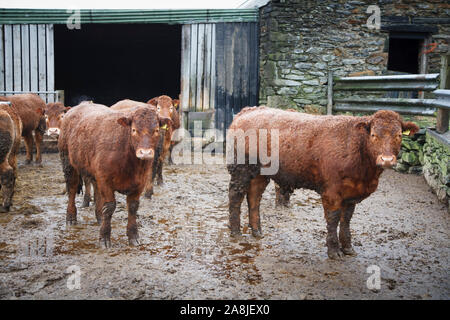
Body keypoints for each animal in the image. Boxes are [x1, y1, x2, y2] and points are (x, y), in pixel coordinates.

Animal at [58, 102, 163, 248]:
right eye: (134, 130)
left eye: (157, 130)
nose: (145, 153)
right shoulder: (105, 180)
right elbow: (109, 207)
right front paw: (104, 237)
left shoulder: (140, 182)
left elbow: (133, 207)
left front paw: (133, 236)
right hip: (68, 163)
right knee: (72, 189)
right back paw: (71, 217)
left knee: (96, 191)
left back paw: (99, 217)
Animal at [227, 107, 420, 260]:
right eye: (373, 135)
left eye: (398, 136)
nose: (387, 160)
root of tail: (249, 110)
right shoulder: (332, 192)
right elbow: (333, 219)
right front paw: (334, 250)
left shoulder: (351, 193)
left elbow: (346, 219)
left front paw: (348, 247)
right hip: (241, 167)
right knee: (236, 196)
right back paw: (236, 232)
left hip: (260, 173)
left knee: (254, 197)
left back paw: (257, 231)